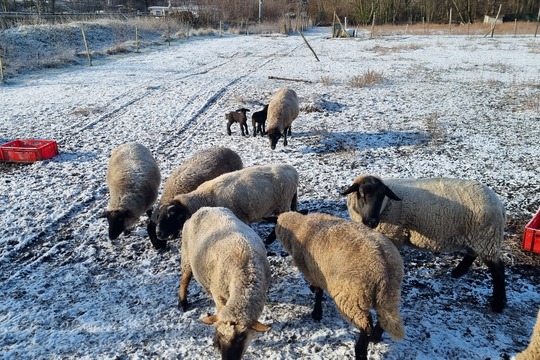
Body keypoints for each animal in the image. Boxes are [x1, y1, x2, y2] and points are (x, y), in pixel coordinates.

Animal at [155, 164, 300, 242]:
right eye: (158, 216)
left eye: (171, 215)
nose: (158, 234)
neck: (203, 198)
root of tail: (293, 171)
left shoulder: (241, 216)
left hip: (282, 202)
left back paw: (269, 240)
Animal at [179, 207, 272, 358]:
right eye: (220, 335)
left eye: (242, 337)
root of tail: (204, 208)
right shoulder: (219, 296)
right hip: (186, 255)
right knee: (184, 279)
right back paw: (182, 302)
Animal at [270, 211, 404, 360]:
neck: (299, 226)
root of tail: (384, 268)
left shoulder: (310, 270)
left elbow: (318, 292)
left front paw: (317, 313)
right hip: (389, 294)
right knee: (386, 316)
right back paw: (376, 336)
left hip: (352, 297)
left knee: (366, 324)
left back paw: (360, 351)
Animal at [342, 174, 506, 312]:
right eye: (361, 194)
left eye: (382, 196)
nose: (372, 221)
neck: (387, 207)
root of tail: (499, 203)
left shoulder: (392, 235)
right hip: (479, 236)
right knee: (473, 253)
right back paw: (458, 272)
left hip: (487, 237)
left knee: (498, 269)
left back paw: (498, 304)